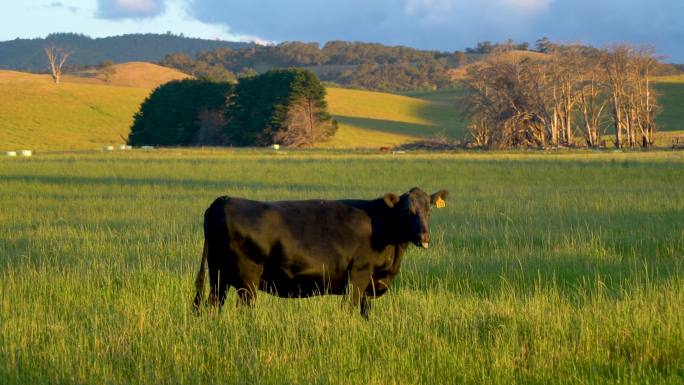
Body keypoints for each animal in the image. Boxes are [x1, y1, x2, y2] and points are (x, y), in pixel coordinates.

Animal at [192, 187, 448, 318]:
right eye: (406, 210)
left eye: (429, 210)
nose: (424, 236)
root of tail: (223, 200)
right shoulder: (359, 274)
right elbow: (349, 308)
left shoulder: (370, 285)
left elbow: (365, 312)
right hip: (247, 278)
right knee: (244, 309)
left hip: (218, 275)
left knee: (213, 305)